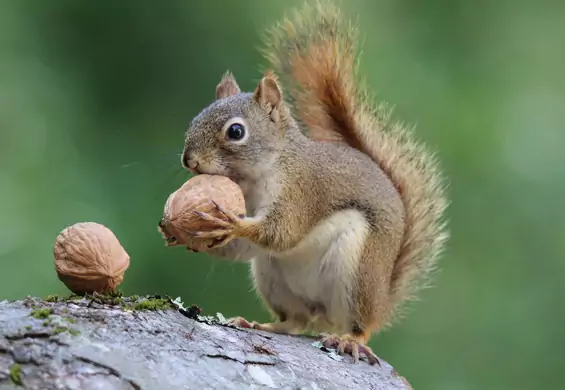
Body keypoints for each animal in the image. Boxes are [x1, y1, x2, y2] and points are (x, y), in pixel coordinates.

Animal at [178, 0, 448, 366]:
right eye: (195, 118)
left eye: (235, 131)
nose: (189, 160)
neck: (256, 176)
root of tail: (382, 300)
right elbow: (243, 249)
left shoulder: (301, 192)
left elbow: (282, 232)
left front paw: (233, 224)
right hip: (271, 276)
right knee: (296, 321)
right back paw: (258, 324)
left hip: (358, 273)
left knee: (360, 326)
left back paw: (350, 340)